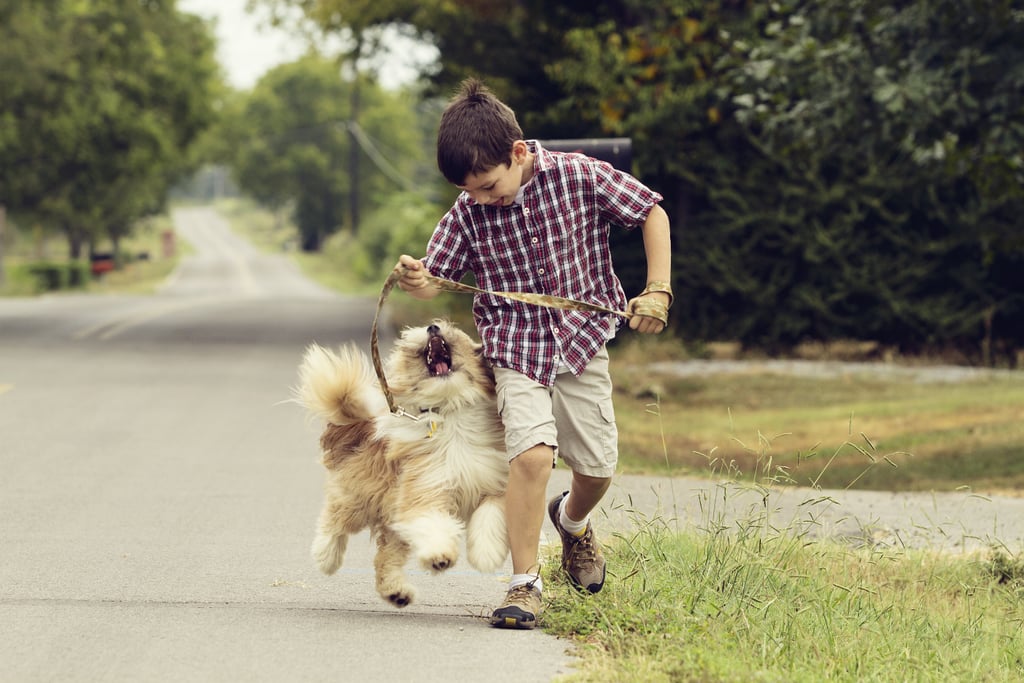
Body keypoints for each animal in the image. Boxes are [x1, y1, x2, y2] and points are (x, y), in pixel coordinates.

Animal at [294, 321, 509, 610]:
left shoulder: (495, 482)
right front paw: (440, 555)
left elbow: (490, 515)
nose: (433, 327)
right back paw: (326, 556)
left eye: (450, 326)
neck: (449, 410)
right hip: (360, 496)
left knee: (386, 556)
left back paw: (396, 592)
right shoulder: (423, 489)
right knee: (335, 519)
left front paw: (487, 555)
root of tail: (363, 425)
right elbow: (431, 521)